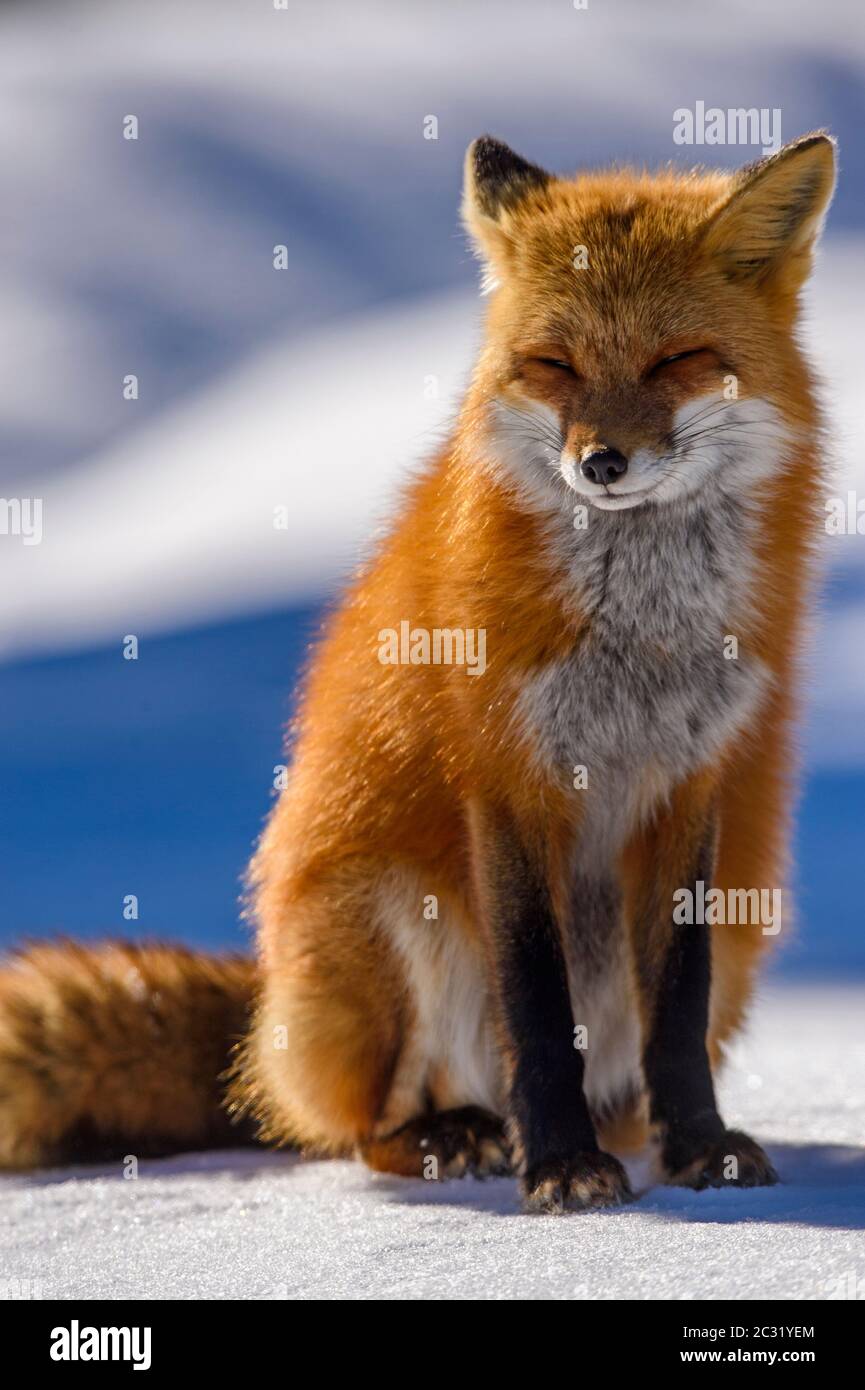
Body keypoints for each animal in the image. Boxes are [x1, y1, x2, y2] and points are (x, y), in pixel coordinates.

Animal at [1, 135, 839, 1212]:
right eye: (553, 365)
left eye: (675, 359)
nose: (601, 464)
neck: (635, 642)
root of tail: (264, 1023)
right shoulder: (505, 778)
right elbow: (537, 1006)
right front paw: (558, 1165)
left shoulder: (691, 786)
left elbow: (676, 1009)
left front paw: (698, 1146)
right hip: (390, 913)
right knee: (357, 1128)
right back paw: (459, 1134)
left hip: (738, 932)